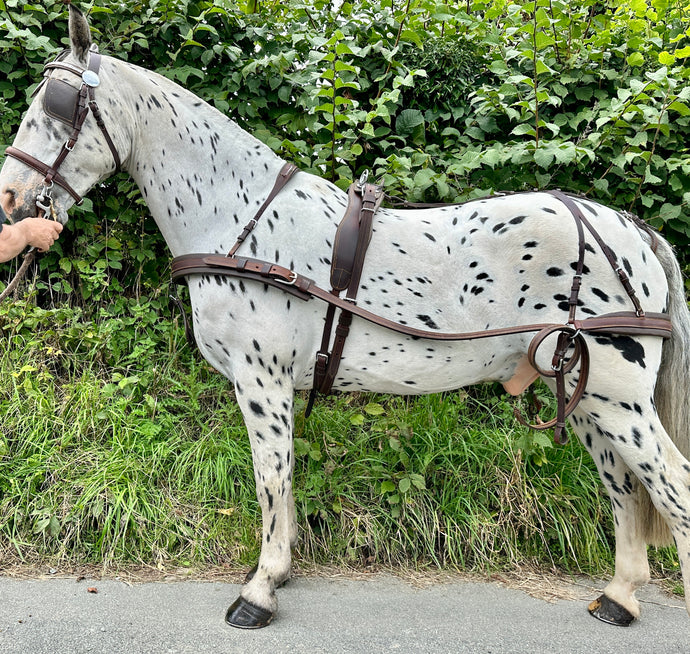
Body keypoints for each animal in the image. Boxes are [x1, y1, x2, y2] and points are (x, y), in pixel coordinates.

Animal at [1, 3, 688, 632]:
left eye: (56, 105)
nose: (11, 198)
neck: (240, 220)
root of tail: (634, 232)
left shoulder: (262, 380)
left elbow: (271, 478)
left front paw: (260, 591)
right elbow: (279, 481)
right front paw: (278, 574)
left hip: (618, 397)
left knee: (671, 485)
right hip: (585, 395)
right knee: (626, 490)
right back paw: (619, 598)